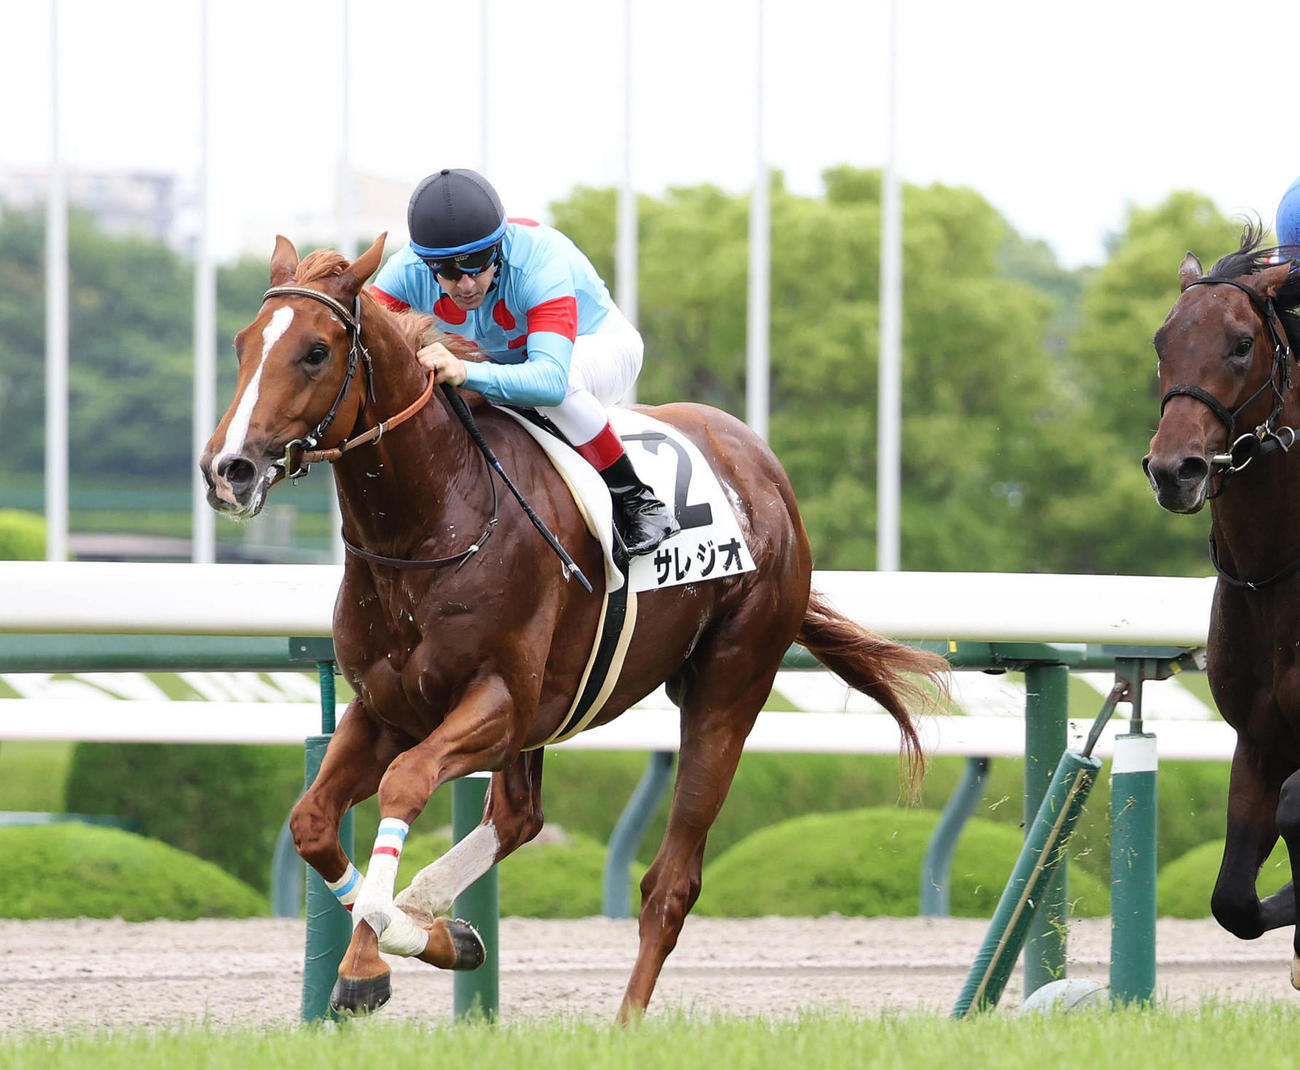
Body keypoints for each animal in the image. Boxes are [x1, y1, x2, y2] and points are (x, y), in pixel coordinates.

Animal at [199, 233, 948, 1021]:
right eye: (244, 343)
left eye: (315, 351)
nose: (229, 469)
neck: (432, 523)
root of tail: (767, 475)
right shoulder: (389, 707)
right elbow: (312, 821)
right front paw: (424, 939)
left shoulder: (497, 701)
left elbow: (406, 784)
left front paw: (375, 956)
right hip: (552, 711)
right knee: (519, 817)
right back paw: (435, 916)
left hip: (728, 686)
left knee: (670, 881)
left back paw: (622, 1021)